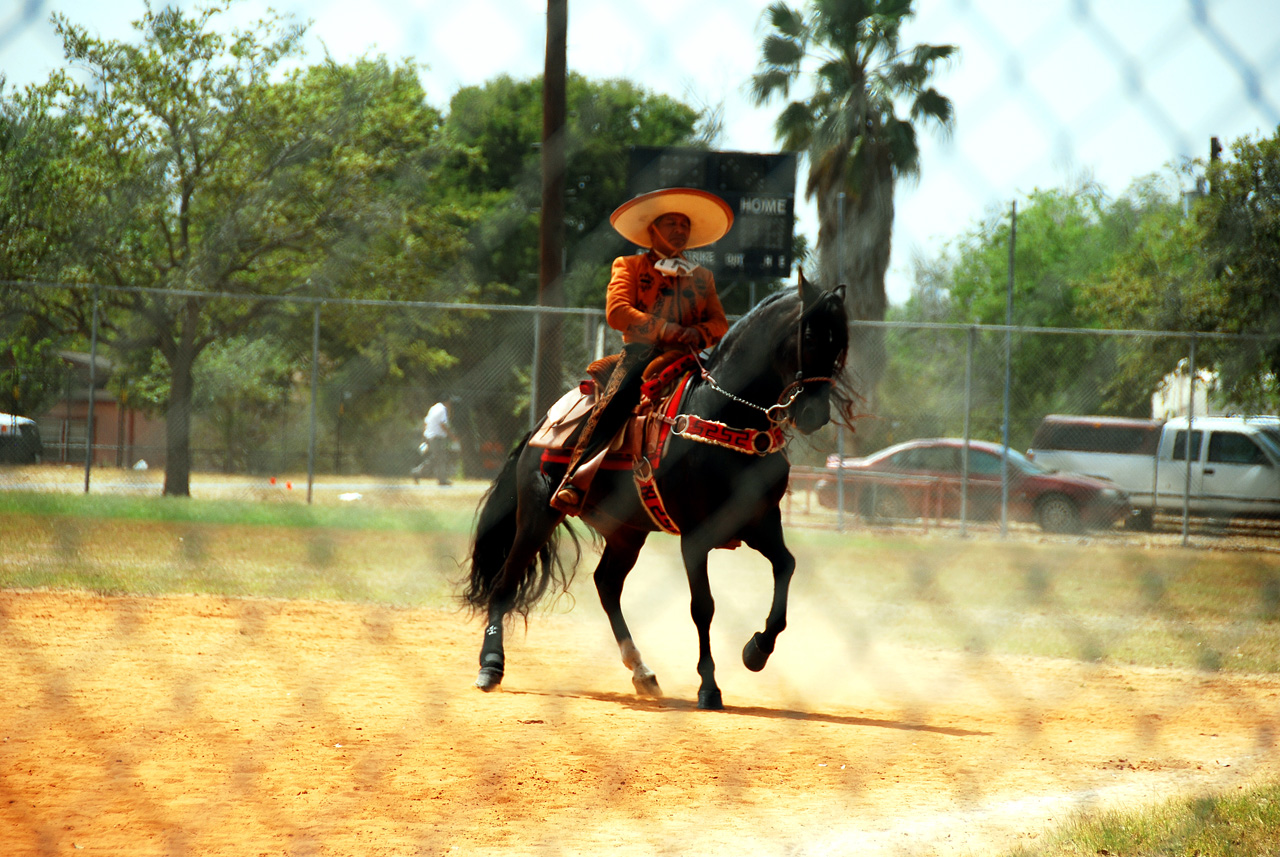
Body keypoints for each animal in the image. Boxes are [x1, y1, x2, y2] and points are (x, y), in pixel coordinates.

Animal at [465, 275, 855, 711]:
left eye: (841, 342)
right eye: (810, 334)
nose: (814, 414)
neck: (724, 415)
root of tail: (540, 427)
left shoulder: (761, 523)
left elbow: (786, 568)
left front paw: (756, 650)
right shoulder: (696, 536)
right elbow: (703, 608)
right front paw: (709, 687)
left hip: (626, 532)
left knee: (607, 585)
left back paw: (642, 672)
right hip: (537, 515)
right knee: (505, 581)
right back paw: (491, 666)